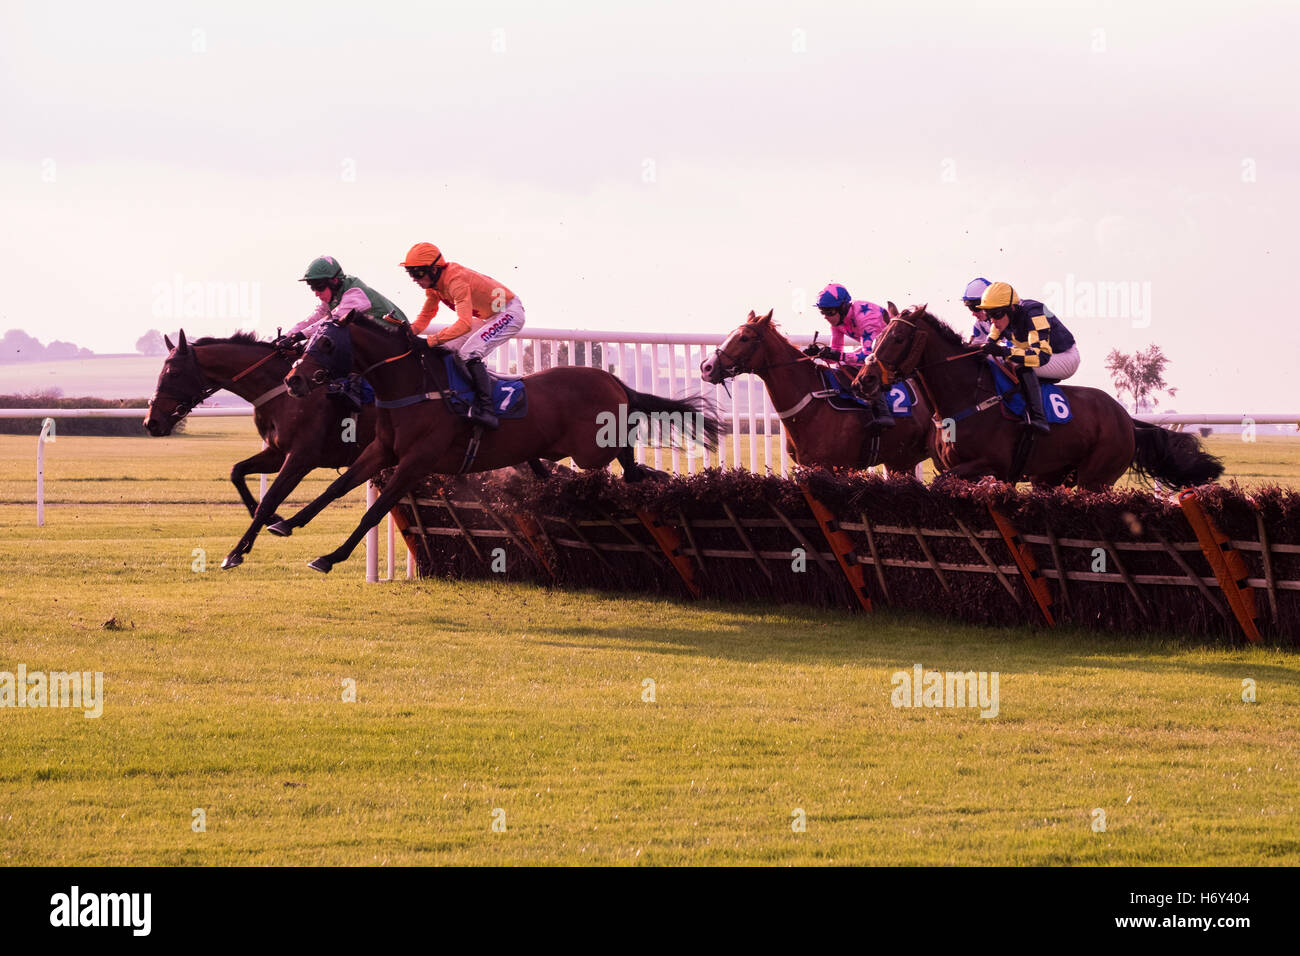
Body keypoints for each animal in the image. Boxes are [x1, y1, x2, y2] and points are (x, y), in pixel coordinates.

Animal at [146, 329, 379, 567]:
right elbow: (237, 471)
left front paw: (236, 552)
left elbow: (269, 499)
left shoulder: (302, 457)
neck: (284, 394)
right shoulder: (277, 453)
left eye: (173, 373)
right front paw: (273, 519)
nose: (150, 422)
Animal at [274, 312, 722, 574]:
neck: (414, 386)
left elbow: (375, 511)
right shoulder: (382, 450)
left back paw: (656, 479)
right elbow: (336, 487)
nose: (293, 379)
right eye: (308, 340)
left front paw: (329, 557)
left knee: (628, 459)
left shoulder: (417, 462)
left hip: (592, 450)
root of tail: (612, 379)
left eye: (327, 343)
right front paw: (286, 522)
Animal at [702, 310, 935, 476]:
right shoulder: (809, 466)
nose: (706, 367)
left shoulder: (833, 467)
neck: (811, 402)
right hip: (898, 460)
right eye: (730, 334)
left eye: (744, 338)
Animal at [852, 306, 1216, 489]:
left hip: (1096, 478)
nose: (863, 380)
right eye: (879, 336)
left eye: (898, 338)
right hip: (1052, 476)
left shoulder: (992, 464)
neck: (965, 399)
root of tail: (1127, 418)